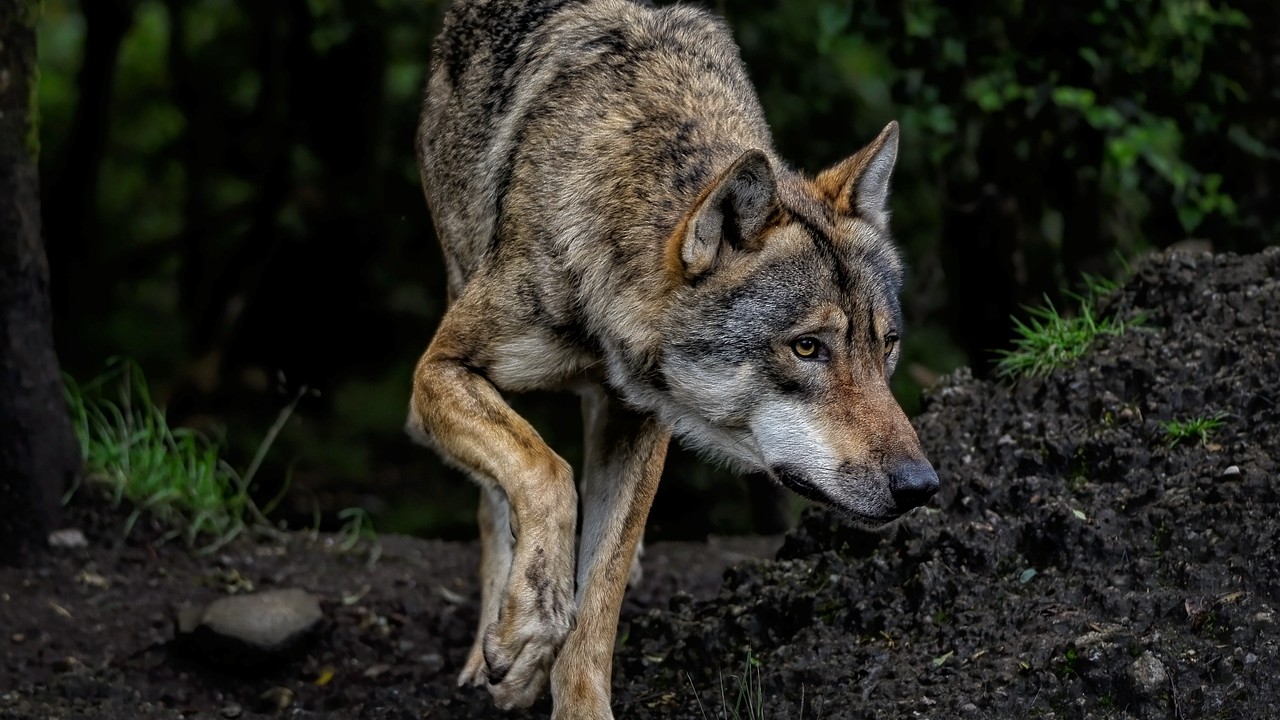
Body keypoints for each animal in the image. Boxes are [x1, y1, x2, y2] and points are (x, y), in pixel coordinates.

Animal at [407, 0, 940, 717]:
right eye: (807, 347)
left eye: (886, 346)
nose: (921, 486)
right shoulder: (437, 374)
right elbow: (544, 473)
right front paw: (525, 633)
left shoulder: (640, 421)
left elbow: (597, 602)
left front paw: (581, 700)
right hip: (460, 285)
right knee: (500, 498)